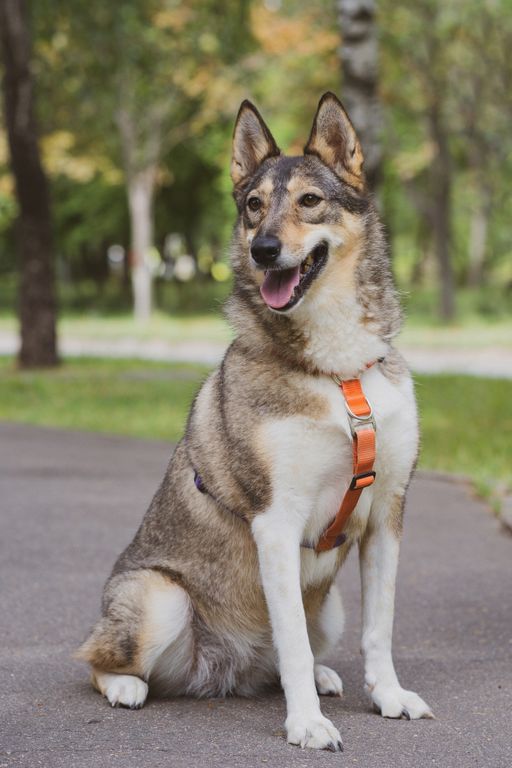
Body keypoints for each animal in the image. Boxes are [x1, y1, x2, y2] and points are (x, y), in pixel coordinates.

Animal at [77, 92, 433, 751]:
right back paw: (125, 686)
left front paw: (388, 696)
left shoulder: (387, 515)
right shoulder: (276, 521)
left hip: (330, 608)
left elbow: (379, 628)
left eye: (310, 201)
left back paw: (321, 677)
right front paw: (307, 726)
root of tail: (223, 671)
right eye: (253, 206)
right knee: (95, 658)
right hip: (160, 599)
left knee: (289, 656)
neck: (336, 371)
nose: (263, 249)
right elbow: (291, 640)